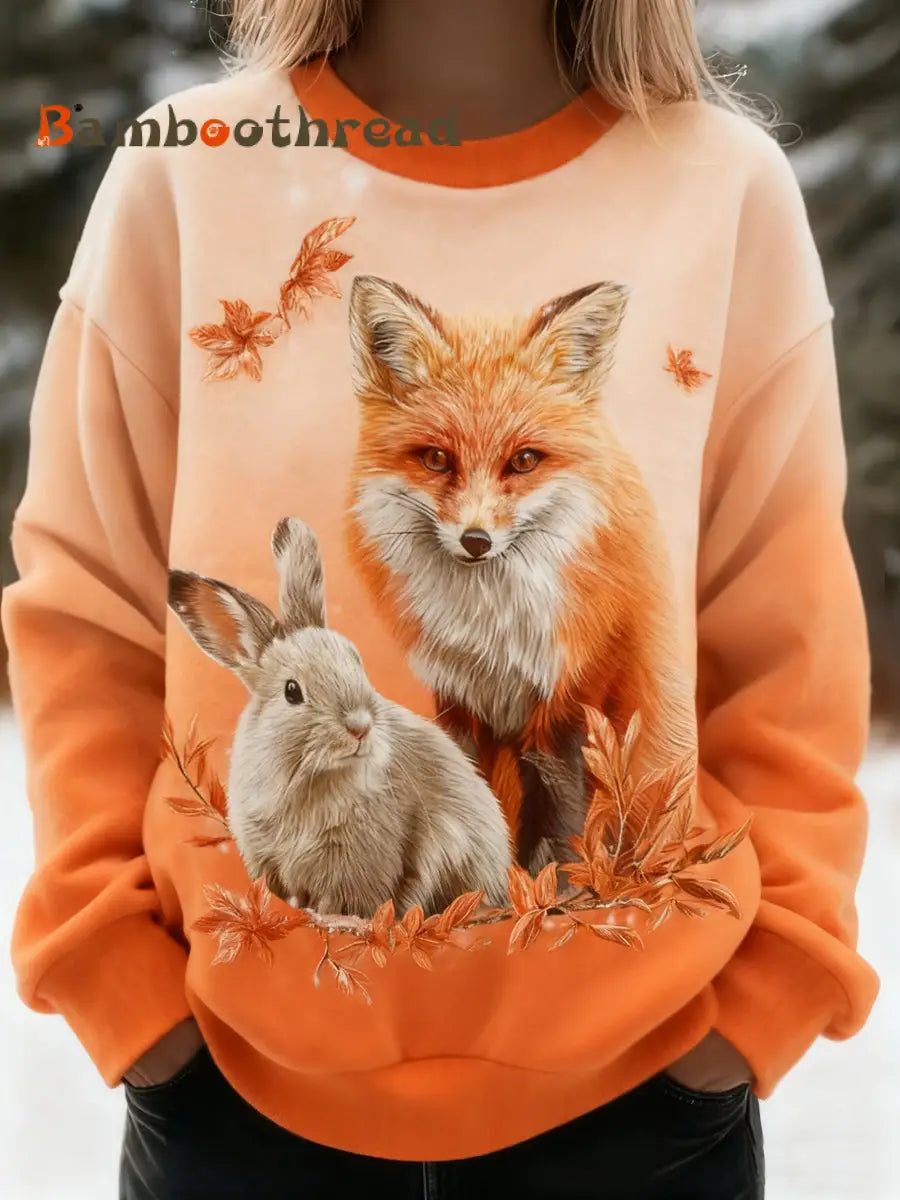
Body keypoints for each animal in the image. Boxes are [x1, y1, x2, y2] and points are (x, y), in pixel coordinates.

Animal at [167, 517, 512, 919]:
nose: (360, 727)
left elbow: (347, 902)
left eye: (356, 660)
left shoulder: (359, 865)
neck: (310, 774)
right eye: (292, 691)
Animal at [344, 274, 696, 873]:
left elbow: (558, 810)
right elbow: (466, 782)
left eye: (525, 461)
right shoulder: (456, 691)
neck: (493, 630)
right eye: (436, 459)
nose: (476, 541)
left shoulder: (573, 692)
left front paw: (549, 885)